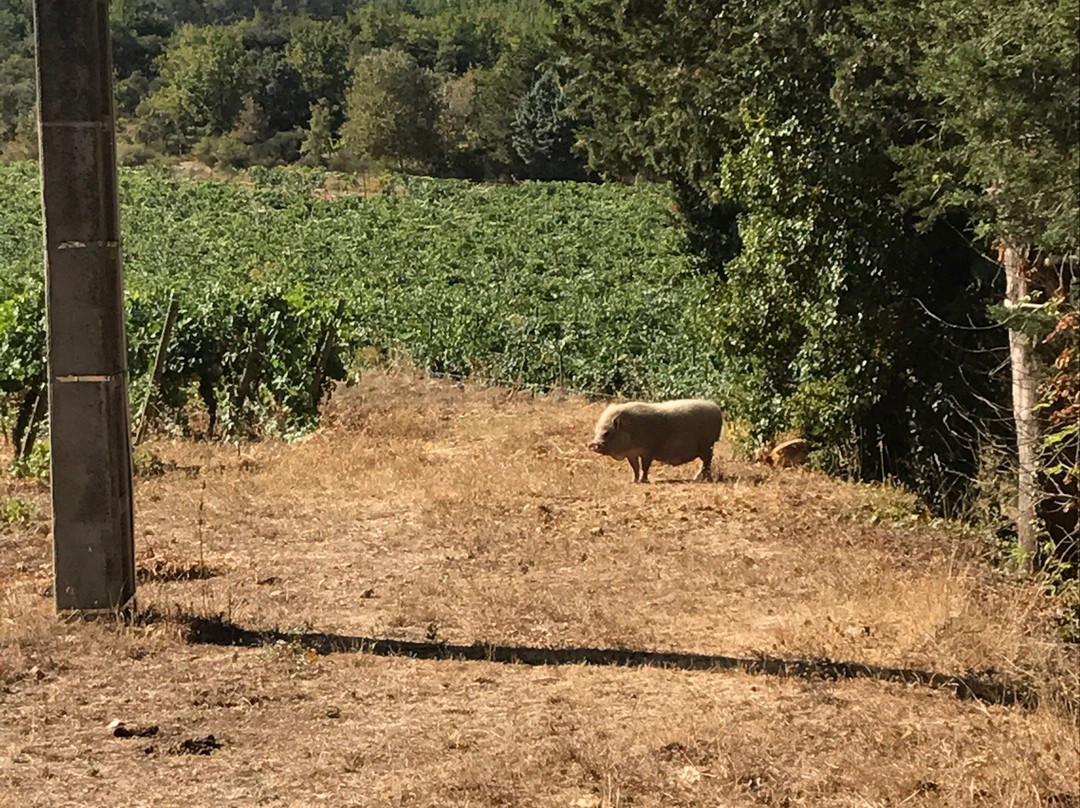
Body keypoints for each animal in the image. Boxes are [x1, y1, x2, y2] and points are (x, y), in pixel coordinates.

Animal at [587, 399, 721, 483]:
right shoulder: (631, 453)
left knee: (707, 462)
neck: (630, 430)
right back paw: (697, 478)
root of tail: (716, 408)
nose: (593, 444)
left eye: (607, 433)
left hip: (707, 445)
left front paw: (644, 481)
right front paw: (633, 481)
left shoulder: (648, 451)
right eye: (596, 431)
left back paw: (705, 480)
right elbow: (635, 467)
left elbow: (645, 466)